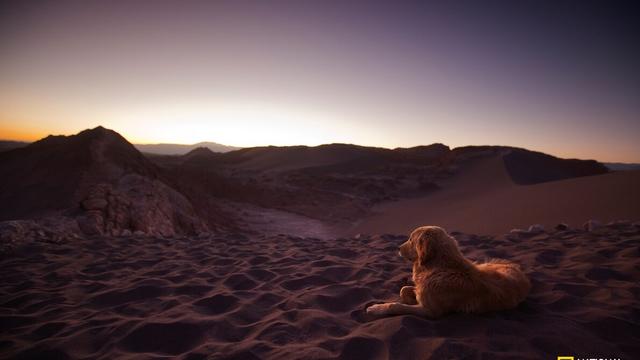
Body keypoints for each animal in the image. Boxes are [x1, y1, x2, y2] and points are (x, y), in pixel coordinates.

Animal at [364, 225, 528, 318]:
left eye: (410, 239)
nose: (397, 248)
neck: (440, 267)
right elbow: (403, 289)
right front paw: (411, 297)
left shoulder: (432, 312)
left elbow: (395, 305)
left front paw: (376, 308)